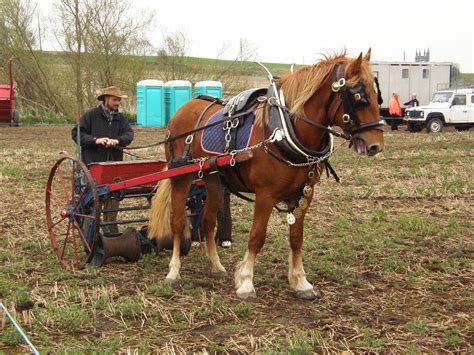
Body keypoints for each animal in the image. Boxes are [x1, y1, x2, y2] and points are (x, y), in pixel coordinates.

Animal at [150, 50, 384, 300]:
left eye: (376, 95)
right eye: (358, 96)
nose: (376, 145)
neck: (284, 129)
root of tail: (183, 109)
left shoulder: (304, 195)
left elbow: (296, 239)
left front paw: (301, 282)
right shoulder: (265, 194)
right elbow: (257, 237)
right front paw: (246, 282)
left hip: (213, 178)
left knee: (208, 220)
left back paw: (216, 266)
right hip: (181, 175)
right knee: (177, 222)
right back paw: (174, 272)